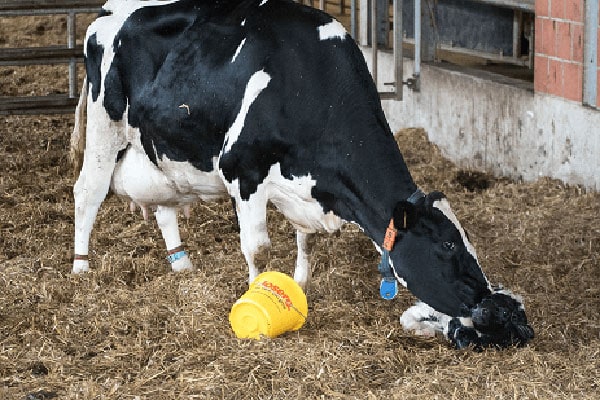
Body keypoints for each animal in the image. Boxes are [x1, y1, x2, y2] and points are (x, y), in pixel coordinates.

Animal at [71, 0, 536, 348]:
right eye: (447, 245)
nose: (485, 298)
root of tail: (110, 9)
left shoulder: (305, 190)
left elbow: (304, 239)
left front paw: (299, 284)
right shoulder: (242, 169)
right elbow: (257, 248)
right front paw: (255, 293)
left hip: (156, 149)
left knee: (164, 206)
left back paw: (182, 265)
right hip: (104, 125)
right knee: (87, 194)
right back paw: (80, 269)